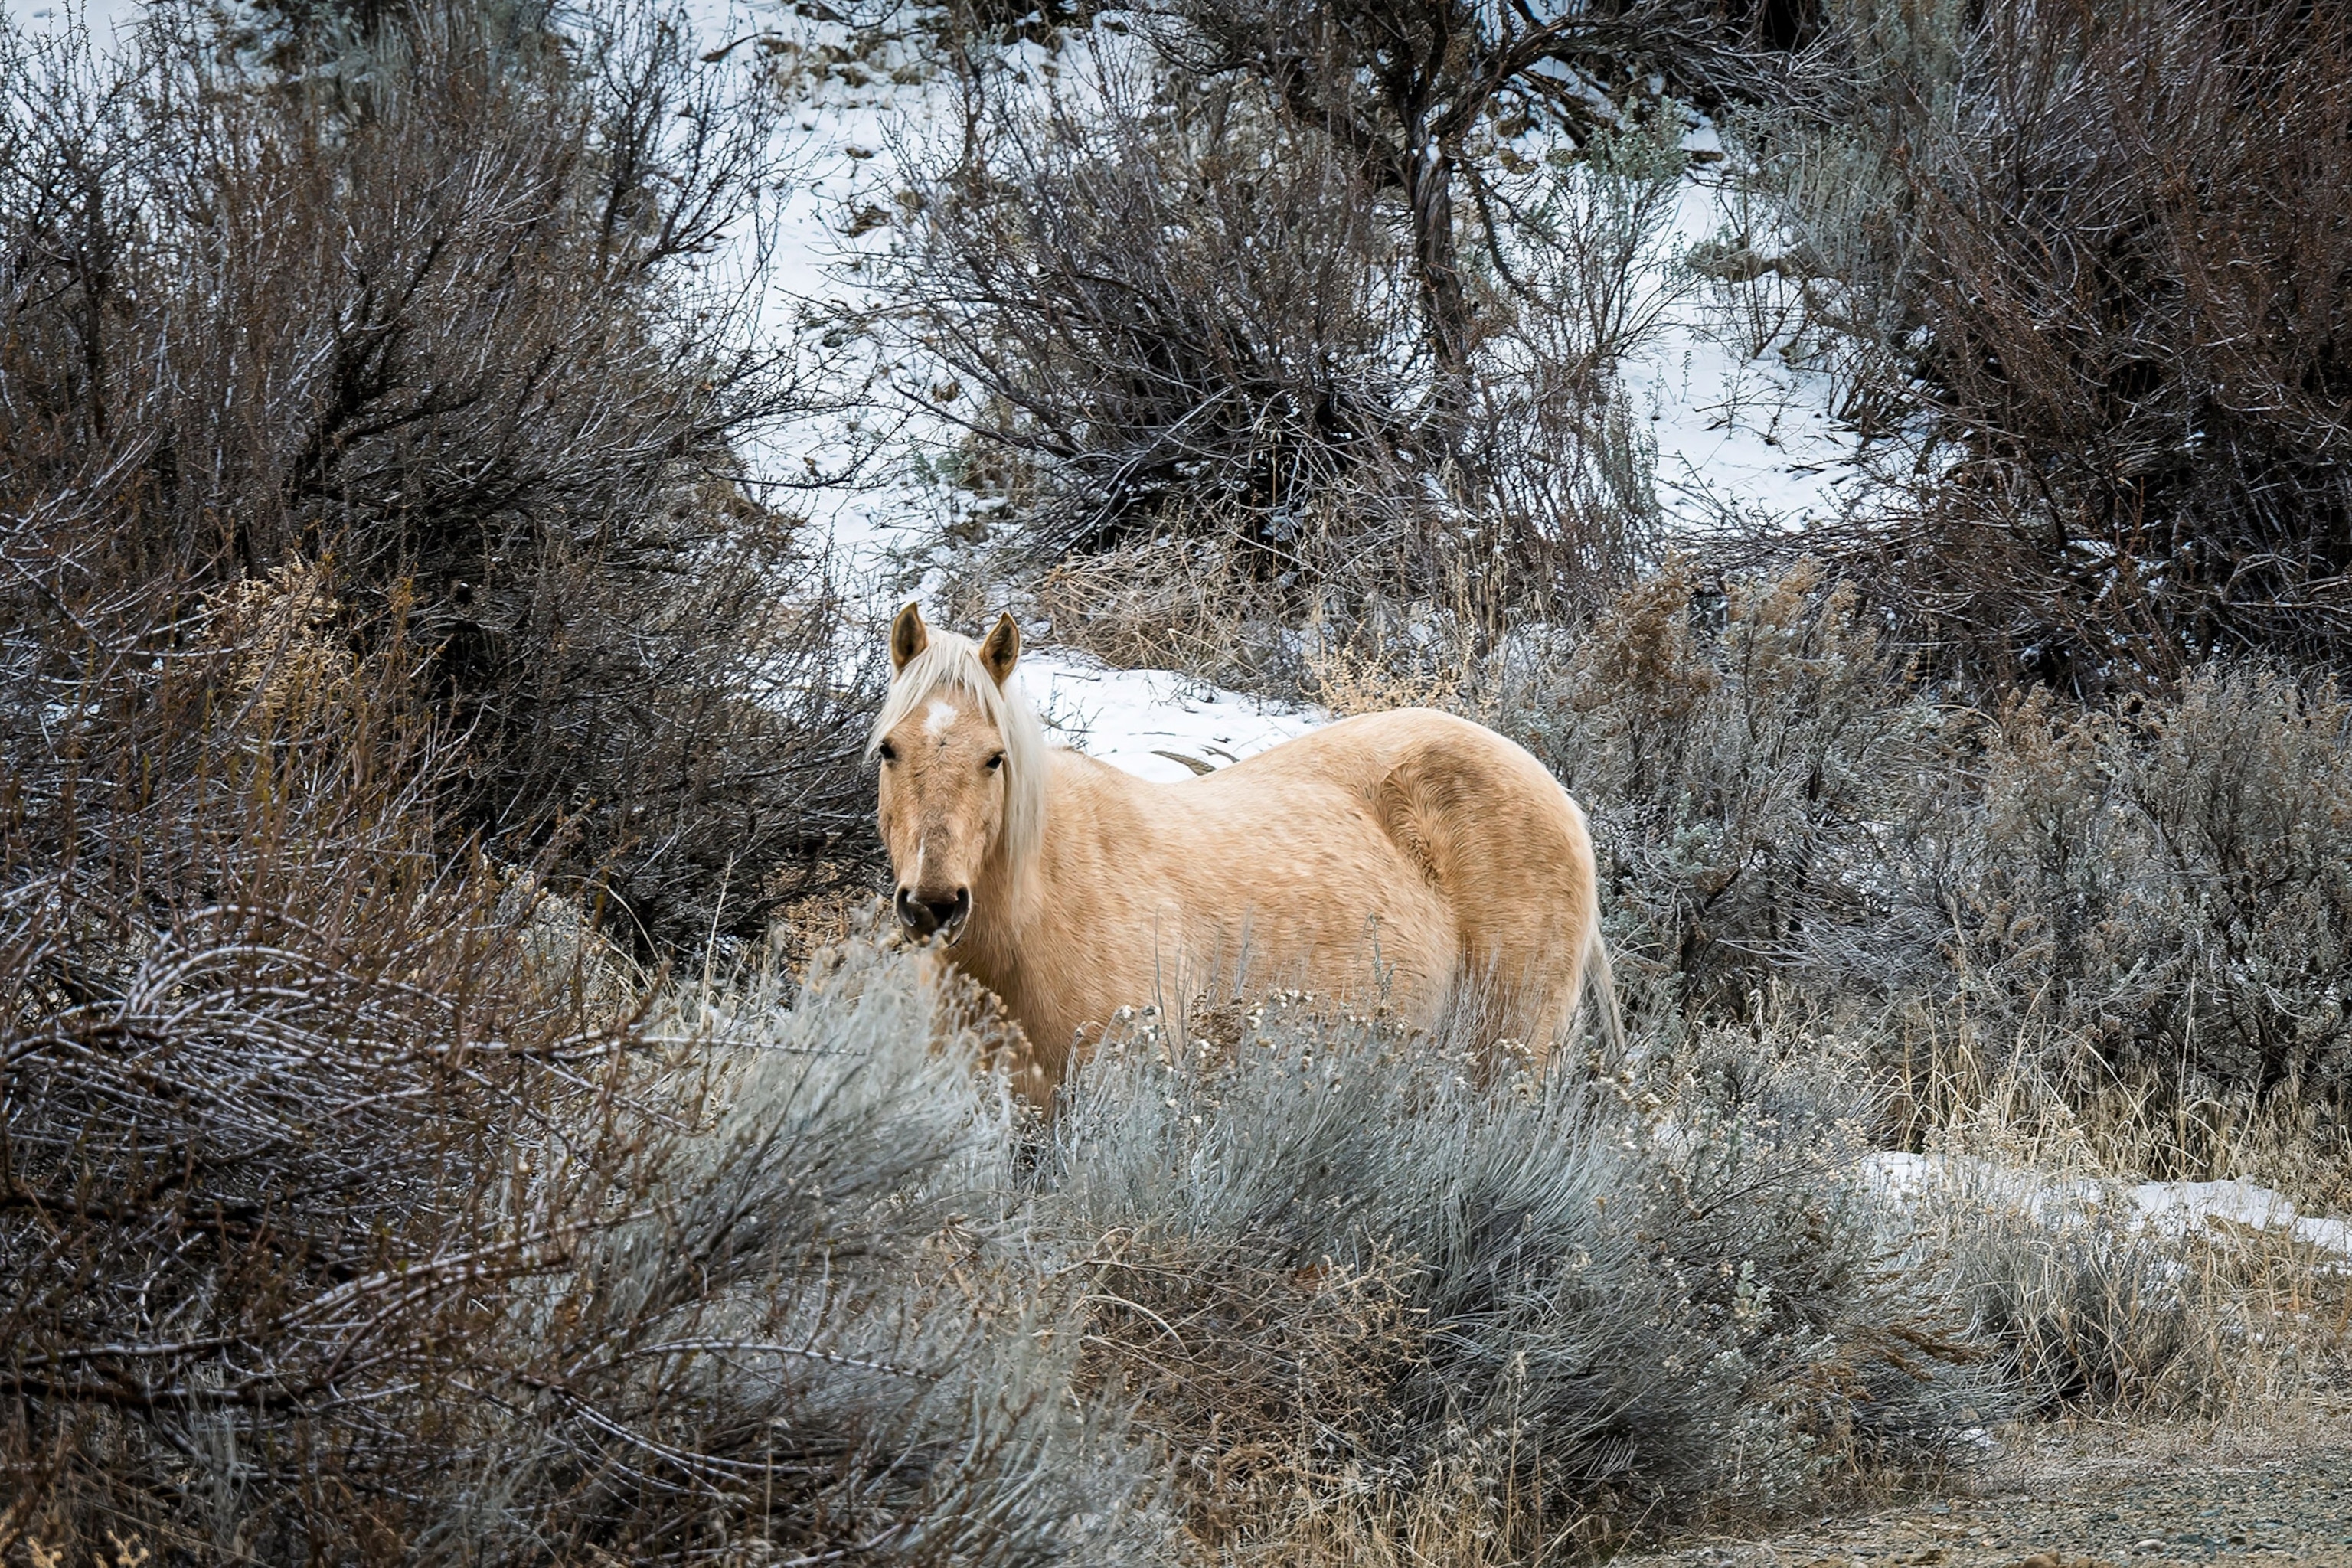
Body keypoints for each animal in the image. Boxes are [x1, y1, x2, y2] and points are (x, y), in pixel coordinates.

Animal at [868, 603, 1618, 1099]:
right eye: (888, 750)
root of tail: (1559, 795)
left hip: (1512, 1054)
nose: (933, 904)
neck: (1032, 920)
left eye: (995, 758)